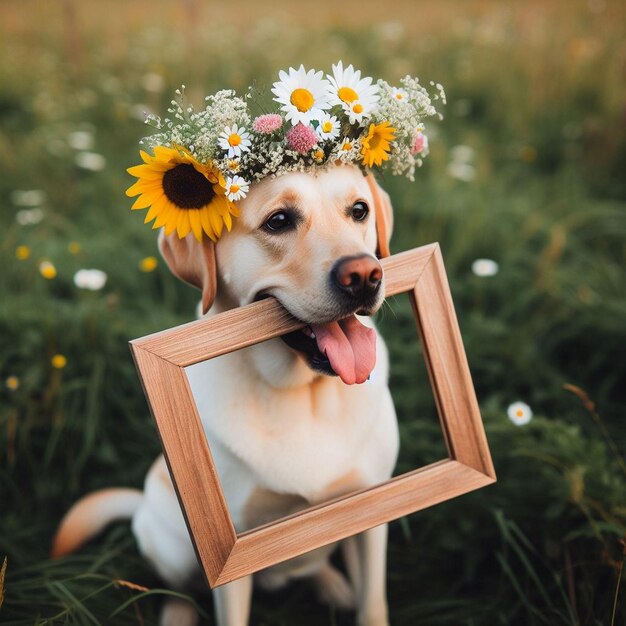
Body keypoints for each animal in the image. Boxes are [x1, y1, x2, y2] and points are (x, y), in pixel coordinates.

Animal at [52, 163, 394, 620]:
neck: (300, 391)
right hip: (174, 549)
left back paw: (332, 585)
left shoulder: (375, 510)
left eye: (359, 210)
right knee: (179, 590)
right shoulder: (232, 555)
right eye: (279, 220)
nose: (364, 276)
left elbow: (373, 604)